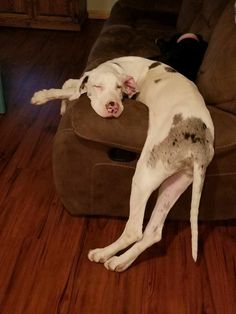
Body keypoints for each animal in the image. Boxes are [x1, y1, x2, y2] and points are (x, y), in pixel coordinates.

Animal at [30, 57, 214, 272]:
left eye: (119, 88)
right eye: (98, 86)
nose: (113, 106)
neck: (119, 66)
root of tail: (199, 145)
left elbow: (68, 89)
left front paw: (42, 96)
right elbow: (70, 83)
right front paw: (63, 105)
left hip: (143, 176)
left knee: (134, 230)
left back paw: (102, 253)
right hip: (175, 183)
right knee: (152, 233)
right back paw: (120, 261)